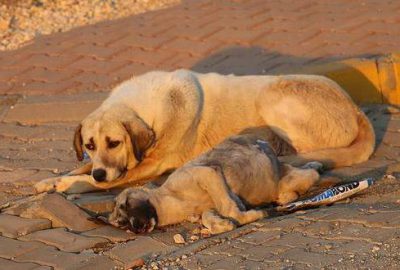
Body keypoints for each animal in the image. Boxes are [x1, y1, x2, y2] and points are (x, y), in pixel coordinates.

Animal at [34, 68, 376, 193]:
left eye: (115, 142)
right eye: (90, 145)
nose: (101, 173)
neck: (147, 108)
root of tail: (356, 108)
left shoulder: (150, 165)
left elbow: (97, 180)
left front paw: (67, 185)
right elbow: (82, 168)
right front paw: (54, 179)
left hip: (273, 94)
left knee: (305, 151)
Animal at [108, 135, 322, 234]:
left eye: (126, 204)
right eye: (122, 224)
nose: (136, 228)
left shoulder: (207, 173)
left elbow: (229, 207)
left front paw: (248, 216)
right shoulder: (209, 205)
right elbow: (208, 216)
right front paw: (223, 224)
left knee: (311, 175)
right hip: (283, 178)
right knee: (298, 176)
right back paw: (311, 167)